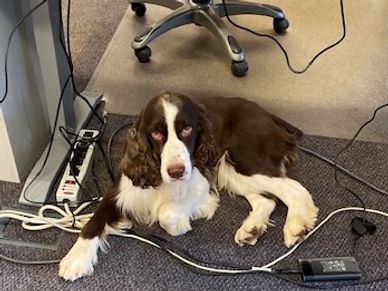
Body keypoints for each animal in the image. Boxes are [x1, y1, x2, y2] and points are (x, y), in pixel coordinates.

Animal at [58, 92, 318, 282]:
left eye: (186, 129)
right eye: (156, 133)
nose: (176, 171)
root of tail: (265, 113)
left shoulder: (201, 183)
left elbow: (167, 213)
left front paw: (183, 223)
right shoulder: (122, 189)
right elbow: (94, 220)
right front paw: (75, 258)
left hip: (244, 158)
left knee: (295, 189)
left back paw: (297, 226)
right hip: (231, 171)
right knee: (267, 199)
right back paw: (252, 229)